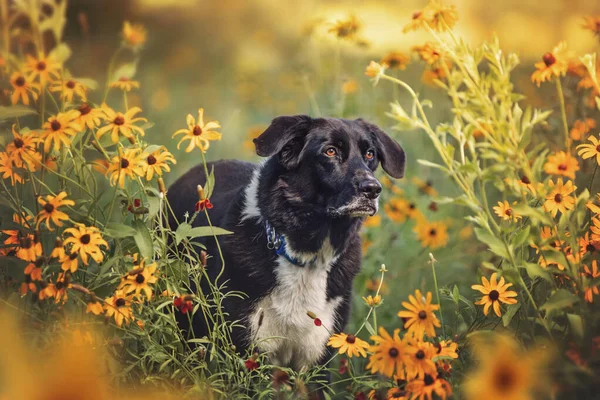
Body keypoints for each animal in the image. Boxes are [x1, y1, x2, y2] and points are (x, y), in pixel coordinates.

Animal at [166, 115, 406, 372]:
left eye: (370, 154)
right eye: (330, 151)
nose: (373, 189)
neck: (304, 257)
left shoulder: (318, 359)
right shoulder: (247, 352)